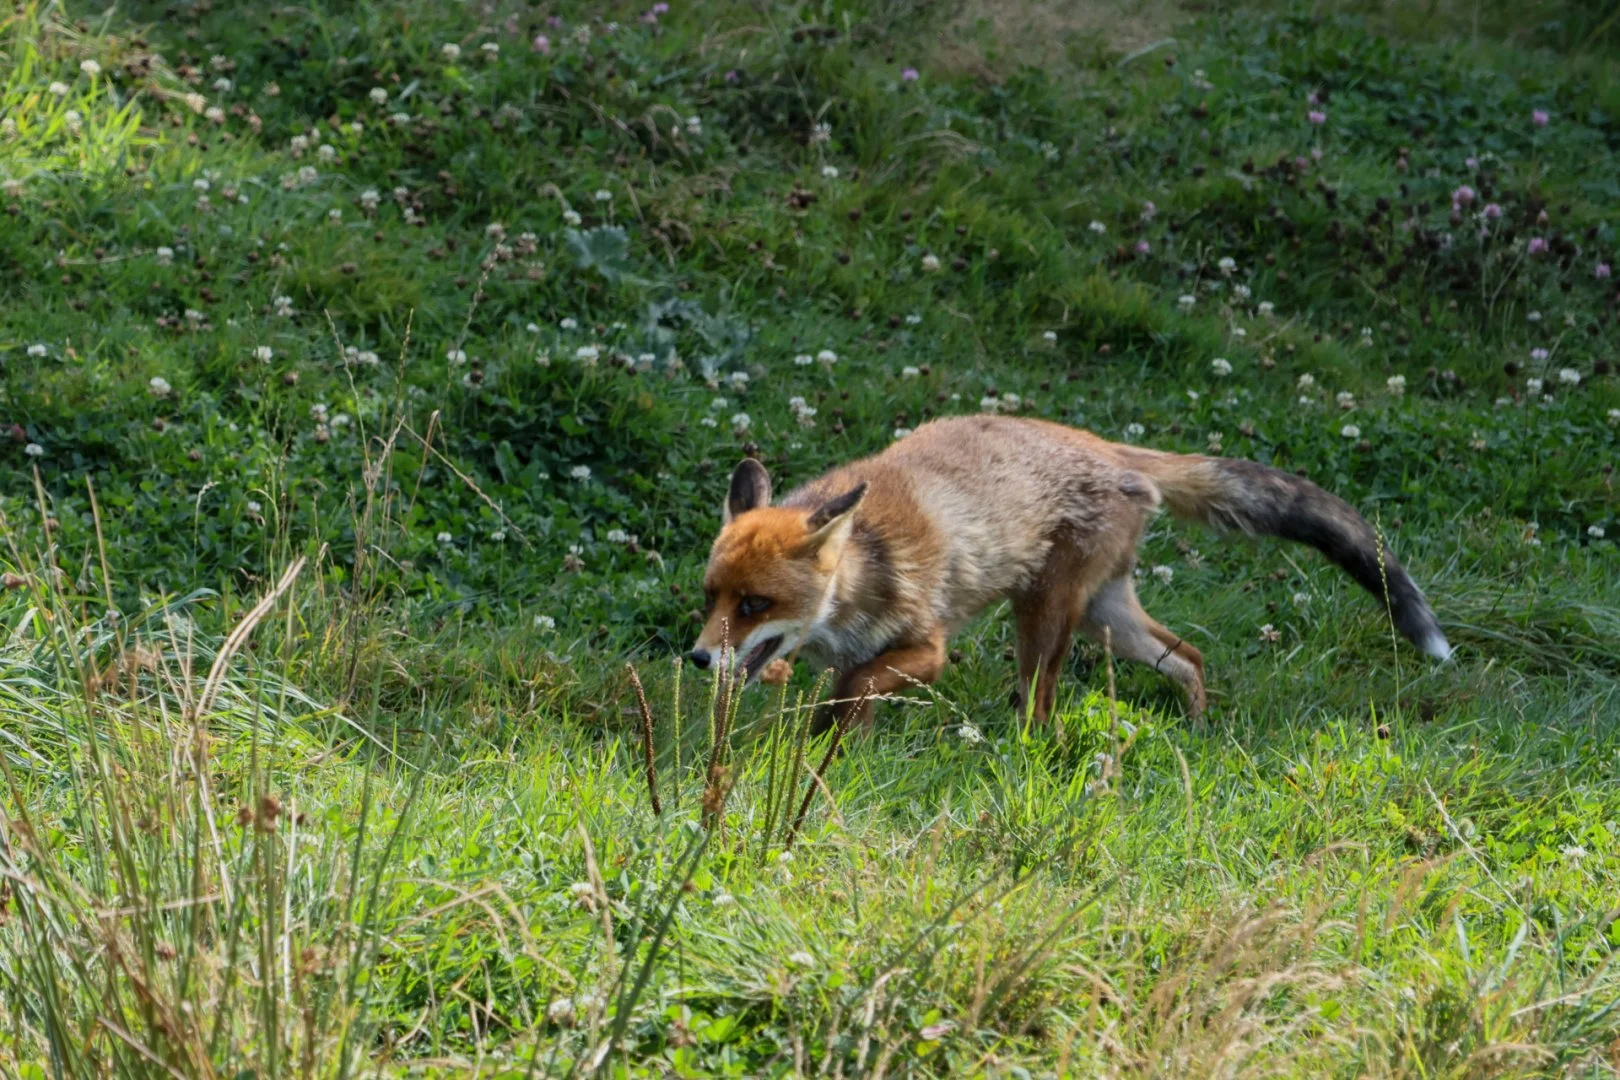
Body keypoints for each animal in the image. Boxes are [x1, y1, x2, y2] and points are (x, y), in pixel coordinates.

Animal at [688, 414, 1451, 731]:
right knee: (1191, 657)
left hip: (1048, 617)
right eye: (711, 597)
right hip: (1106, 619)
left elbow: (852, 688)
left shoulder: (928, 648)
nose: (696, 658)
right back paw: (1198, 730)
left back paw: (1022, 753)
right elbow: (843, 699)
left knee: (1041, 706)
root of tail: (1111, 448)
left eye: (755, 604)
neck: (858, 572)